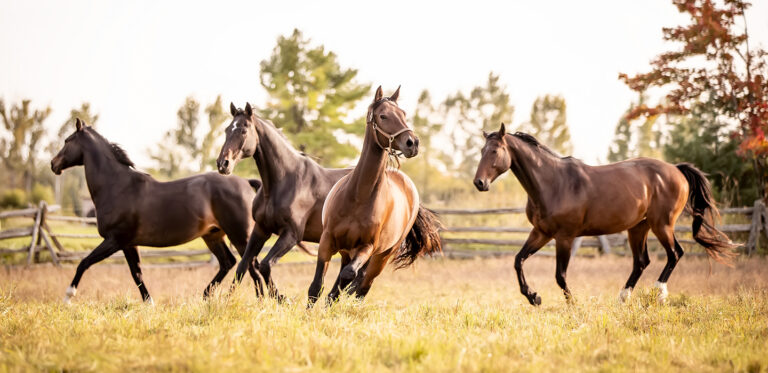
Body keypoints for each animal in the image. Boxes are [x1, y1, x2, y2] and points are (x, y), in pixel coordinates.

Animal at [51, 118, 262, 302]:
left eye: (67, 140)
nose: (53, 164)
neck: (117, 186)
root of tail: (245, 182)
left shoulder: (114, 240)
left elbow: (84, 263)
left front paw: (67, 297)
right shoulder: (128, 244)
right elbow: (137, 273)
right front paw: (149, 303)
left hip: (240, 236)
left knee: (251, 266)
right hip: (213, 235)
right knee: (229, 262)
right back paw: (206, 296)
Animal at [214, 101, 350, 296]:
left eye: (243, 130)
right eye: (226, 130)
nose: (223, 164)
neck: (283, 182)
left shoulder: (291, 235)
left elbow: (265, 265)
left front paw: (281, 298)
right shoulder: (261, 229)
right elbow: (243, 266)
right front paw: (228, 299)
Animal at [308, 87, 444, 306]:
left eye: (403, 114)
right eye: (383, 116)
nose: (412, 143)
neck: (357, 197)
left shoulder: (367, 247)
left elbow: (348, 277)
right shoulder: (327, 241)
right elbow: (316, 286)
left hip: (381, 257)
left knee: (362, 285)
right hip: (347, 252)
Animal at [472, 123, 736, 304]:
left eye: (495, 151)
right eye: (482, 150)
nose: (479, 183)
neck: (553, 183)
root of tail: (676, 169)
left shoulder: (565, 237)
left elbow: (560, 275)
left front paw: (572, 304)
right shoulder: (541, 233)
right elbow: (519, 260)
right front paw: (533, 297)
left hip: (662, 225)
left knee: (674, 254)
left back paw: (658, 294)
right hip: (638, 227)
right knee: (642, 262)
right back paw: (623, 298)